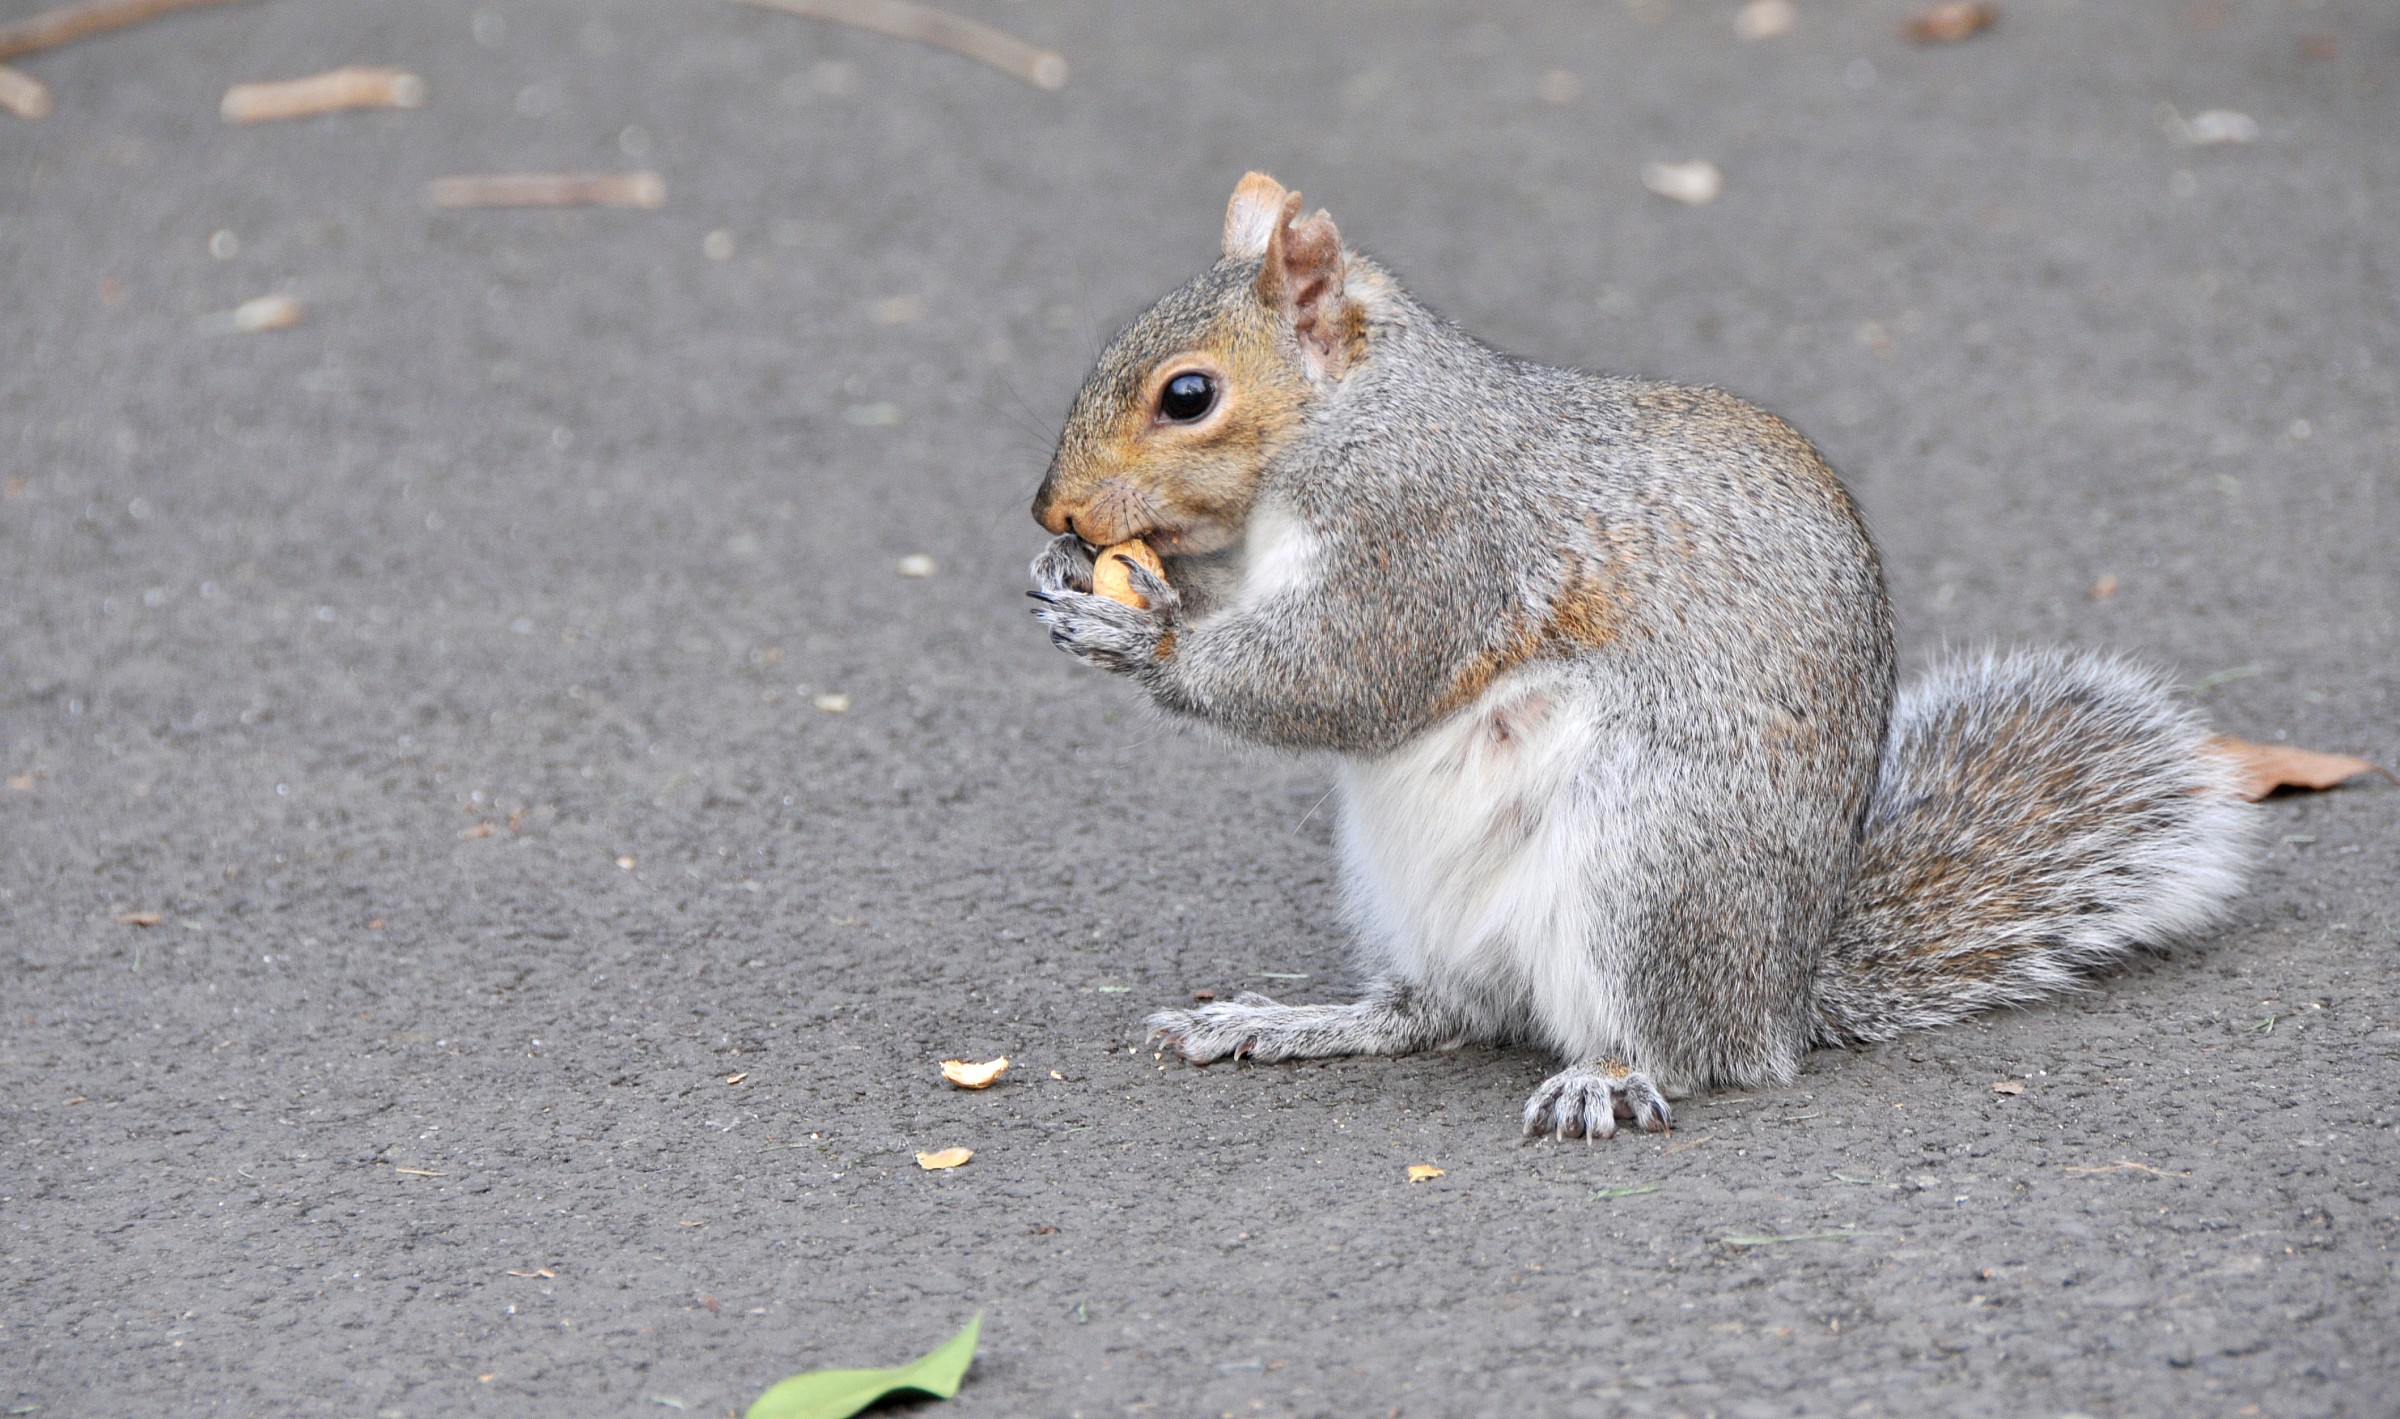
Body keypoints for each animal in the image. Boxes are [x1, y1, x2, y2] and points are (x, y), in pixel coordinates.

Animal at [1027, 172, 2258, 1139]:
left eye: (1190, 395)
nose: (1053, 510)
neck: (1349, 420)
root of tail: (1784, 991)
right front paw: (1082, 582)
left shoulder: (1434, 535)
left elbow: (1346, 672)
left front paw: (1140, 634)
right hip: (1408, 889)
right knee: (1439, 1013)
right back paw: (1287, 1021)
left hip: (1650, 862)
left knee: (1682, 1047)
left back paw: (1608, 1079)